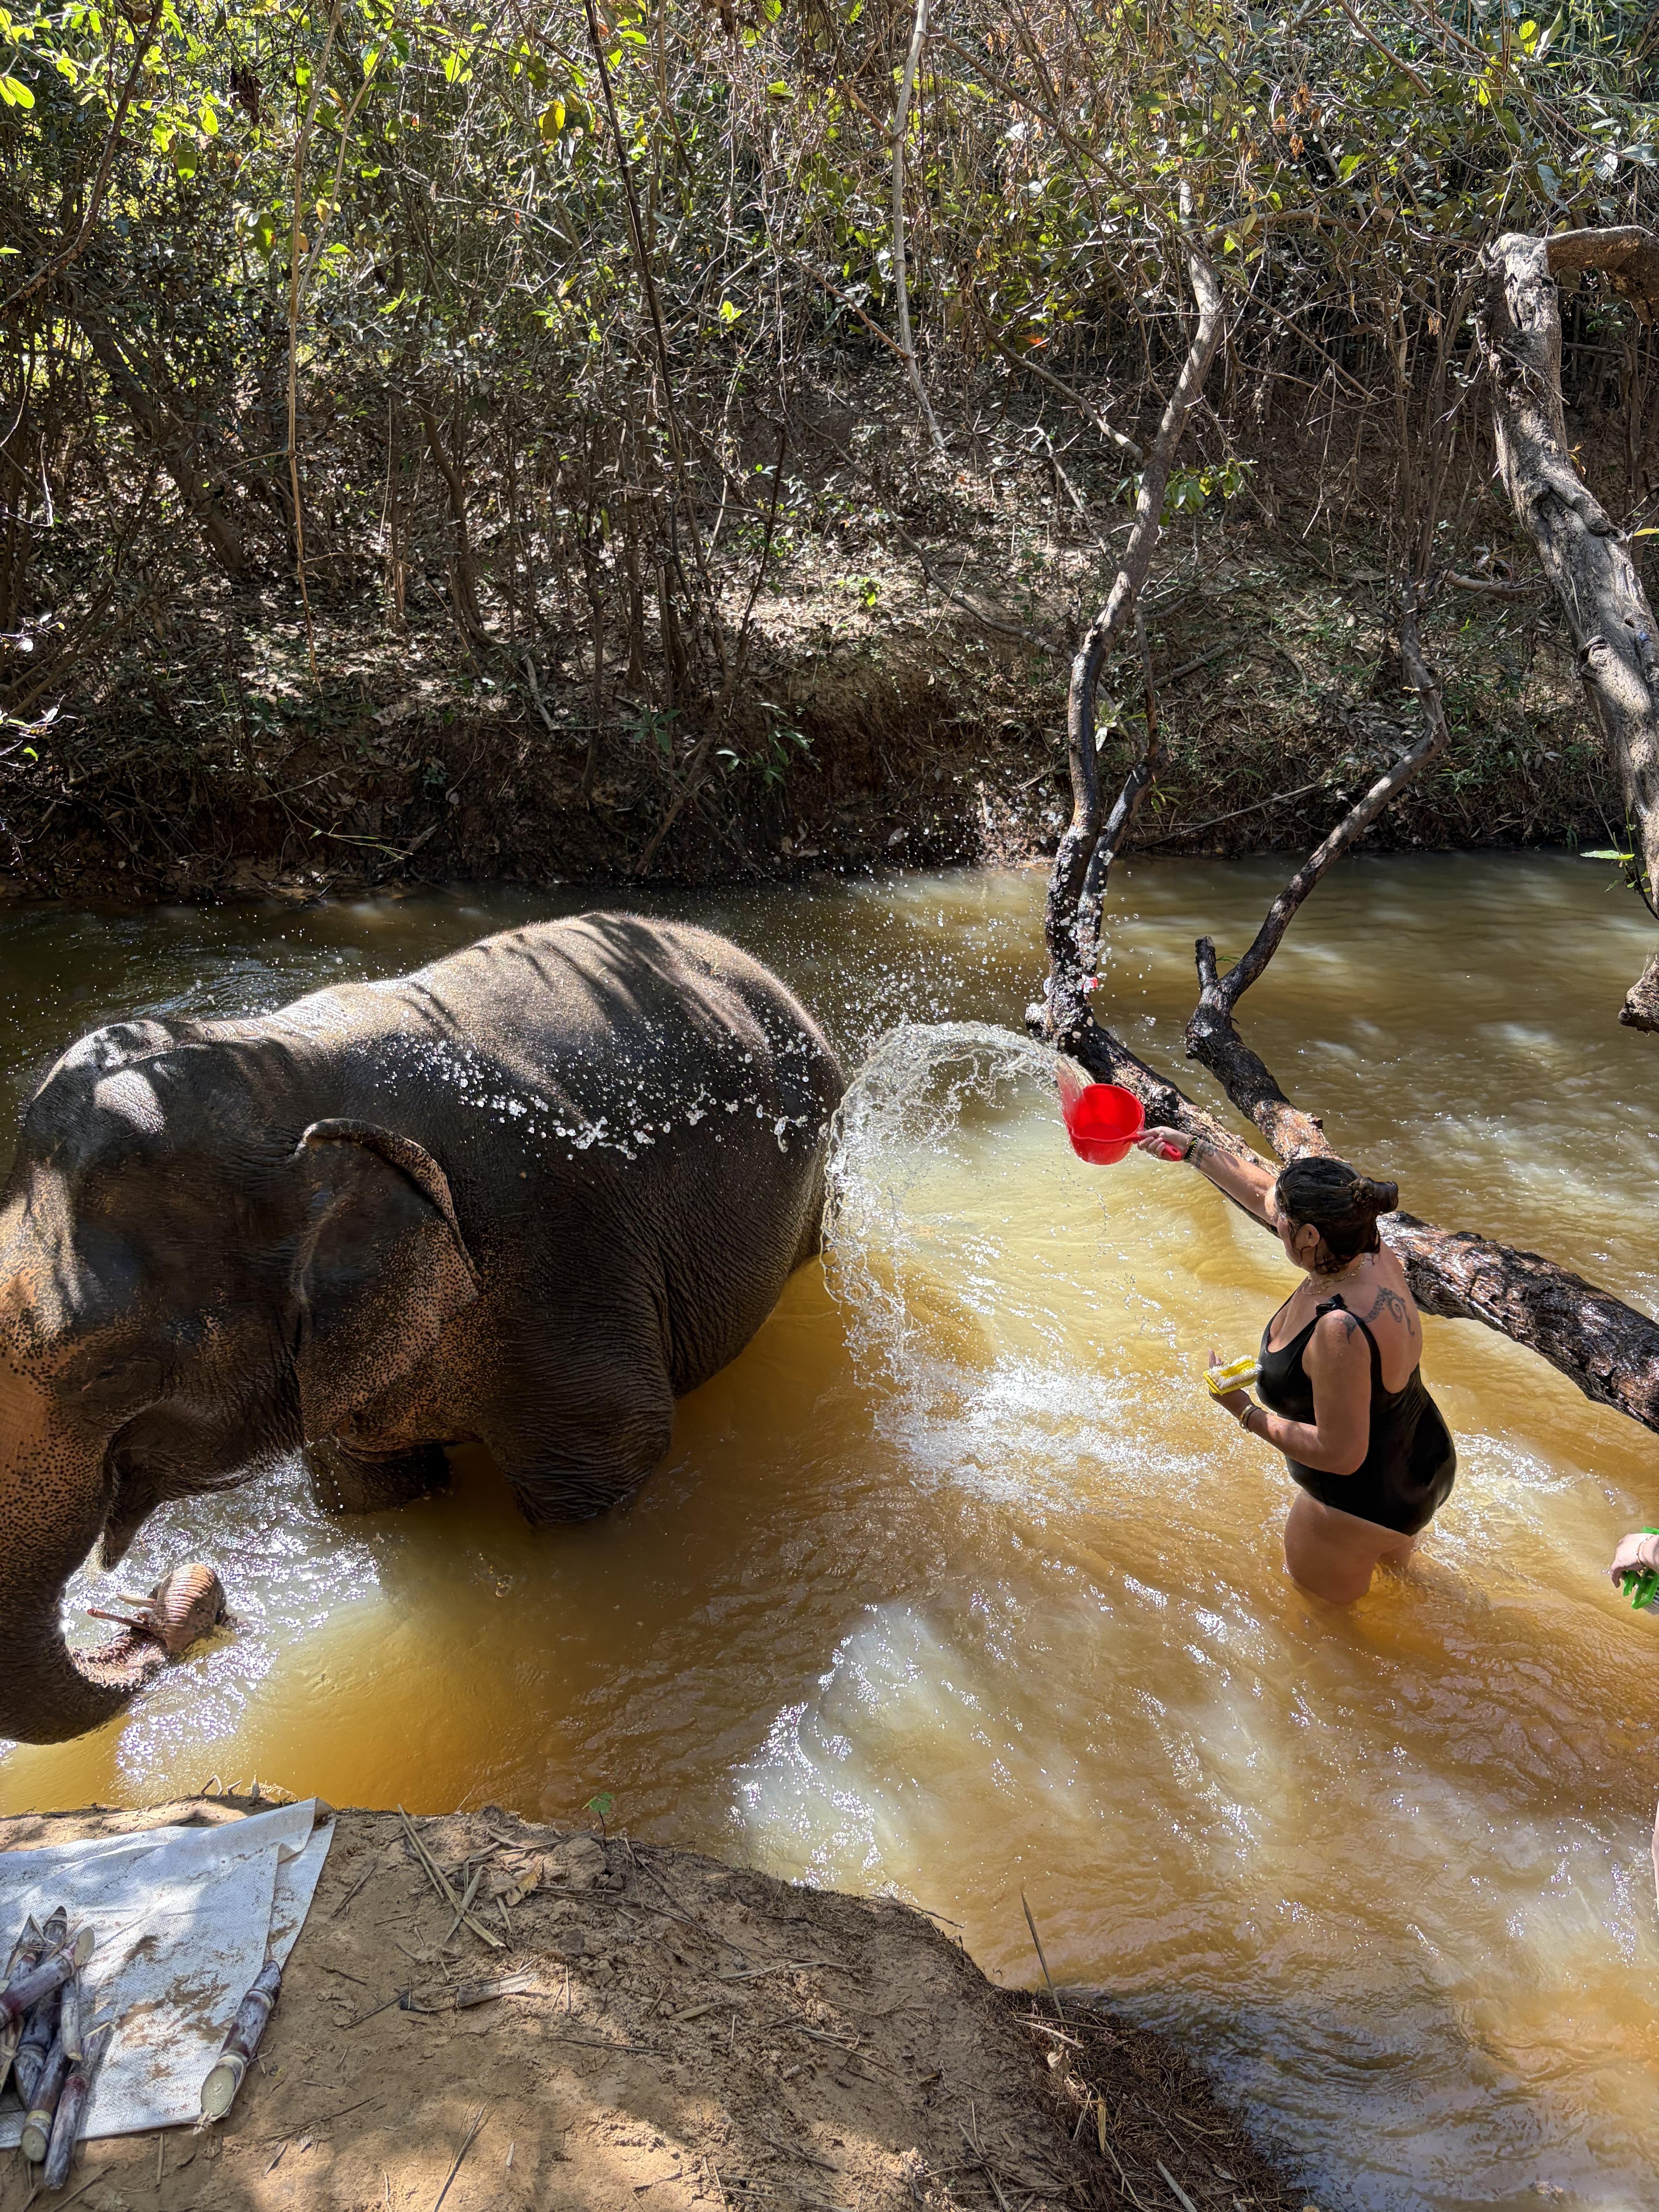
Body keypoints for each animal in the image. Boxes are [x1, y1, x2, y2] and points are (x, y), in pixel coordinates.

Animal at [0, 912, 843, 1746]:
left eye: (107, 1372)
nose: (178, 1606)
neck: (278, 1073)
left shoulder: (558, 1257)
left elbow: (601, 1467)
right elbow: (369, 1488)